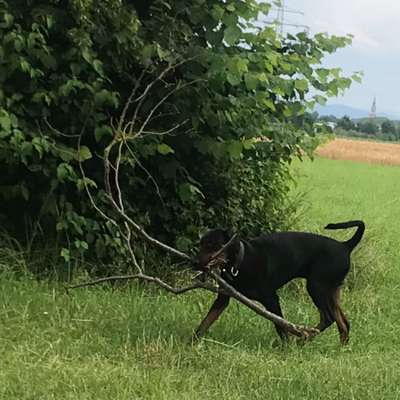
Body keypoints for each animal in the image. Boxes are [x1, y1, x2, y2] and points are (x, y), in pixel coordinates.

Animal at [194, 222, 366, 344]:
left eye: (211, 245)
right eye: (200, 244)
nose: (194, 263)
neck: (241, 260)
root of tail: (345, 246)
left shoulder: (271, 298)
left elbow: (280, 325)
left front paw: (287, 347)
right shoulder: (223, 297)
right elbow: (206, 321)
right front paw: (193, 341)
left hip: (316, 287)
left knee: (328, 318)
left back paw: (304, 338)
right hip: (331, 290)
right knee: (343, 323)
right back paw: (339, 347)